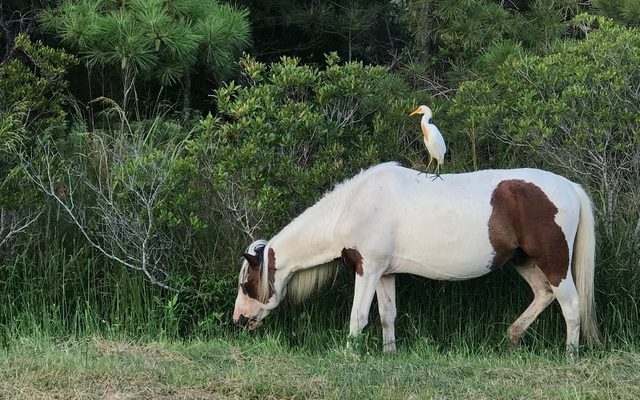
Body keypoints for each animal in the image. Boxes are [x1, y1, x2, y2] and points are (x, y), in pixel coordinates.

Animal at [232, 162, 600, 353]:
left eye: (247, 284)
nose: (238, 319)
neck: (354, 207)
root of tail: (569, 186)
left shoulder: (368, 270)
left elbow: (357, 319)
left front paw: (350, 355)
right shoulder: (385, 274)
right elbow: (387, 317)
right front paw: (389, 353)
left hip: (553, 261)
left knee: (570, 305)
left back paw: (570, 354)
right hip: (523, 260)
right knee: (543, 294)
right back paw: (513, 336)